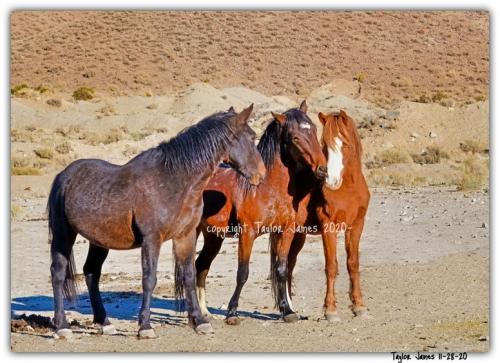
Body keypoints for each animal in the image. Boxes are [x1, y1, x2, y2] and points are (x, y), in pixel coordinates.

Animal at [46, 104, 266, 338]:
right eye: (252, 137)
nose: (261, 175)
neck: (174, 181)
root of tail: (63, 176)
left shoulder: (185, 236)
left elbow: (189, 275)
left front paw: (199, 321)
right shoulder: (152, 239)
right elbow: (149, 279)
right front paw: (145, 326)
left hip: (99, 240)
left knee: (91, 273)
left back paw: (104, 322)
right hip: (63, 235)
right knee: (58, 273)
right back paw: (62, 326)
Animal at [194, 101, 328, 326]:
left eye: (314, 129)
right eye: (295, 137)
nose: (322, 169)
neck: (266, 188)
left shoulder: (285, 232)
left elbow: (281, 269)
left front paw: (287, 311)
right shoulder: (247, 234)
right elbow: (243, 273)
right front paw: (232, 313)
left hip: (213, 236)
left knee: (201, 266)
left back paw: (204, 313)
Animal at [284, 110, 370, 322]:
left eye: (345, 145)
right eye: (325, 146)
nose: (330, 180)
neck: (348, 190)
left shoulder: (356, 226)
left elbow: (353, 264)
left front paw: (359, 306)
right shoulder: (328, 228)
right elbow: (331, 266)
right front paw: (330, 310)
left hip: (299, 235)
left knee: (289, 265)